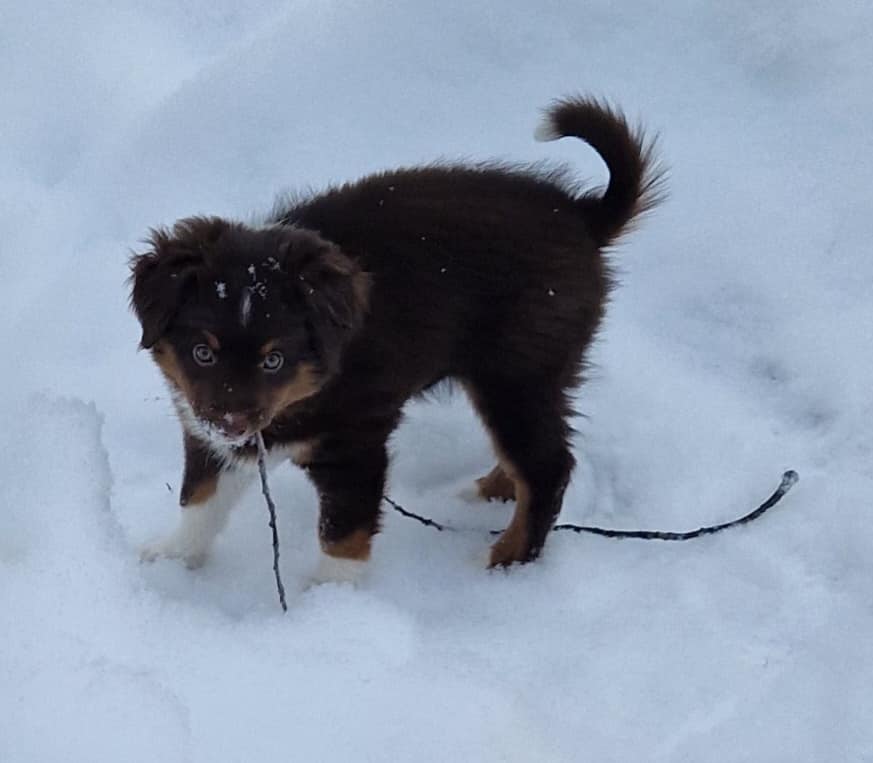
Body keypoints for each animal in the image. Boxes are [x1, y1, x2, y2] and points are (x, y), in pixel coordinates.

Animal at [129, 98, 660, 580]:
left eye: (273, 359)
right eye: (202, 353)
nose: (231, 421)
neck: (308, 387)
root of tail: (582, 215)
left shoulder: (355, 443)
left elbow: (342, 534)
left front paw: (329, 604)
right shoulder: (207, 428)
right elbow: (200, 497)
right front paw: (171, 560)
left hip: (517, 370)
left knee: (548, 466)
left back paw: (504, 563)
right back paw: (483, 493)